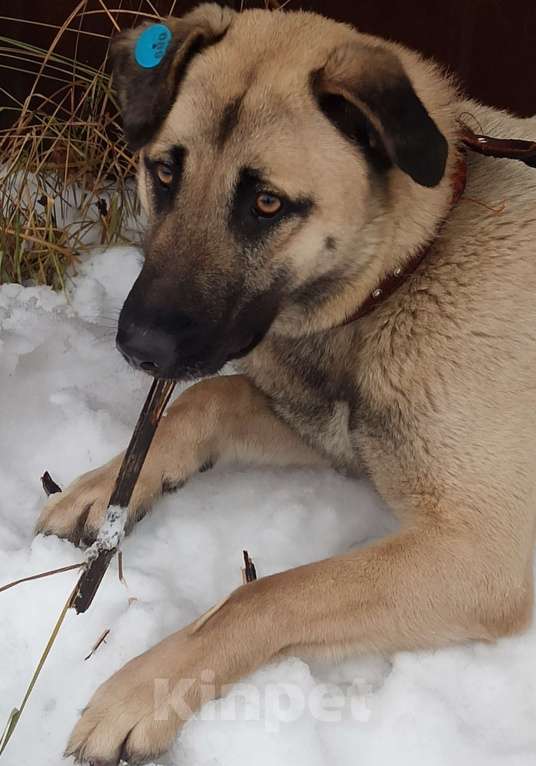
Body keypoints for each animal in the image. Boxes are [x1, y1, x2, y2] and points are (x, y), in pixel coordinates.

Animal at [34, 3, 536, 764]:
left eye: (267, 204)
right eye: (164, 172)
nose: (139, 348)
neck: (406, 273)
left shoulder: (484, 553)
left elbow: (264, 595)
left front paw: (142, 690)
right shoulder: (330, 430)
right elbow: (208, 396)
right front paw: (106, 488)